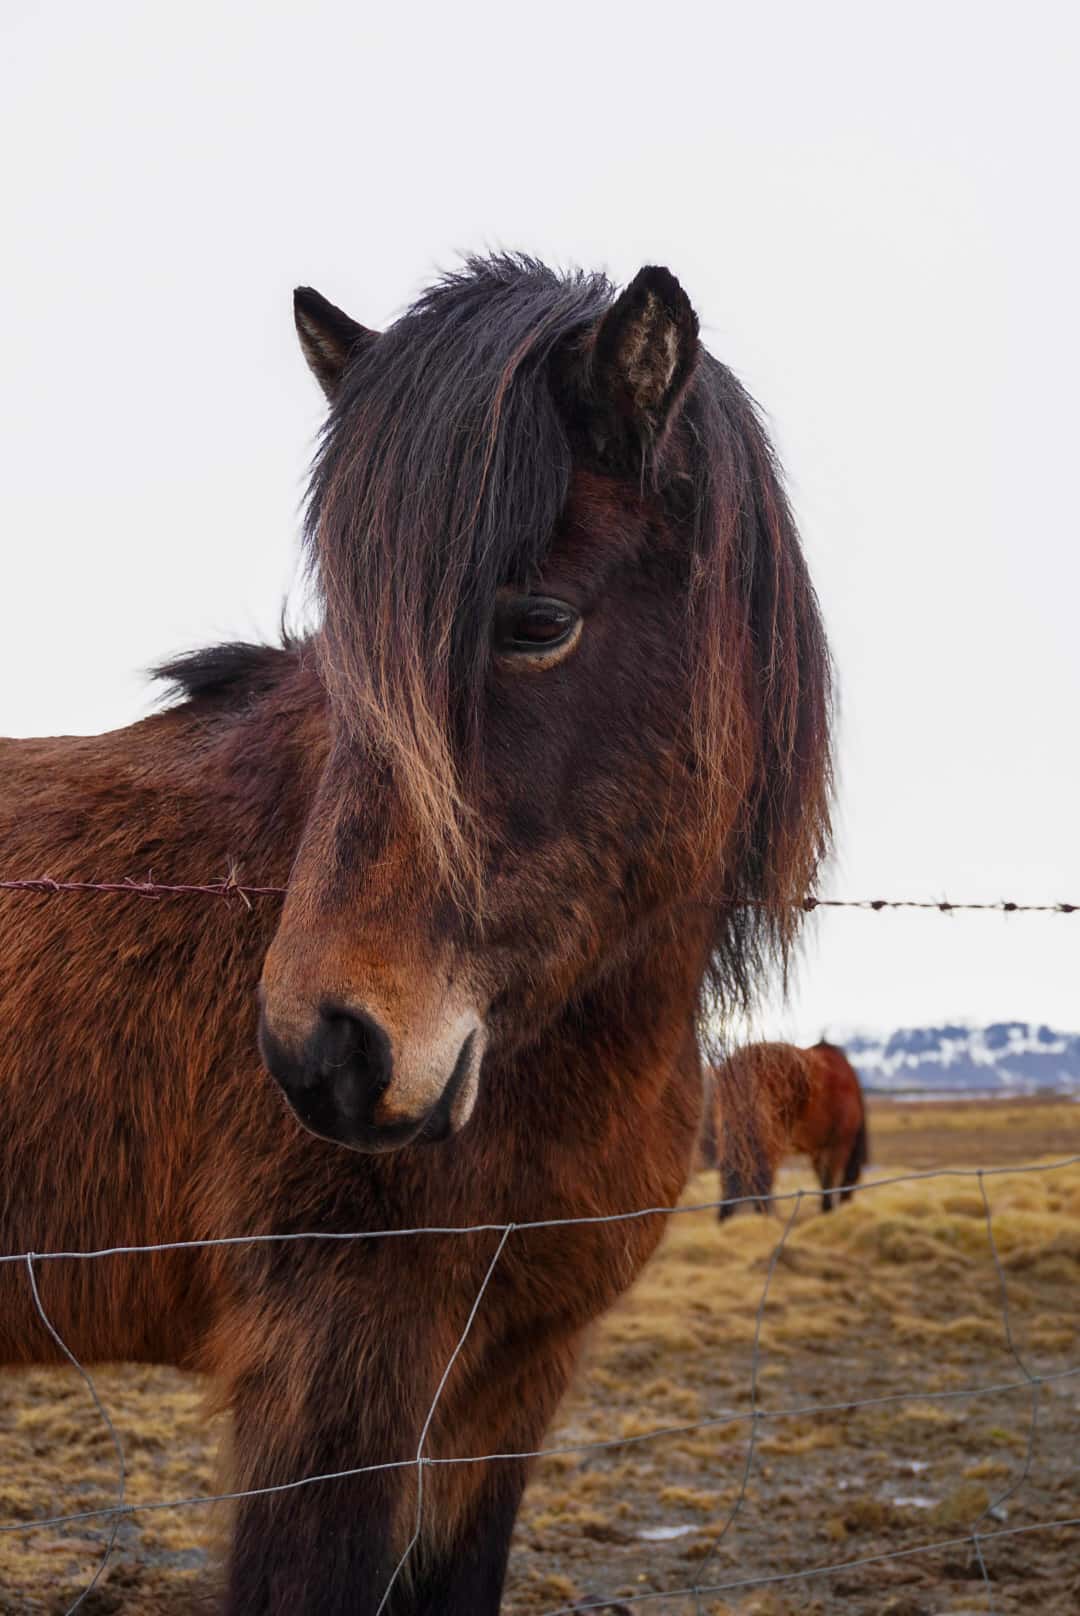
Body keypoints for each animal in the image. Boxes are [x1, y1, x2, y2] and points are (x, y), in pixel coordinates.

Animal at [711, 1039, 868, 1218]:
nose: (847, 1205)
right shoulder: (838, 1145)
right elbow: (828, 1182)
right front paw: (827, 1210)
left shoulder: (818, 1150)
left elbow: (823, 1180)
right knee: (762, 1179)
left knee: (730, 1175)